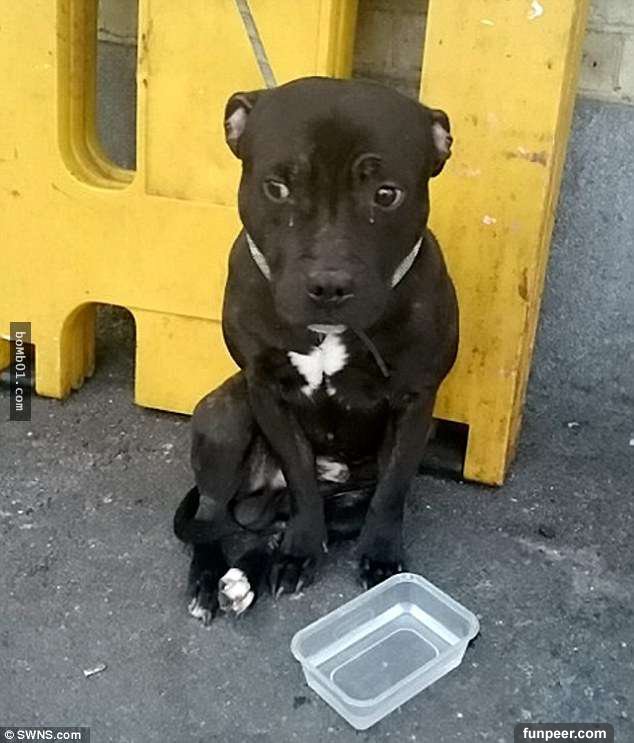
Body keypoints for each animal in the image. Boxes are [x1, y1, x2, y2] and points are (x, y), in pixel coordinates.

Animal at [174, 77, 458, 624]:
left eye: (386, 194)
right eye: (277, 188)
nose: (328, 284)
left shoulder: (416, 403)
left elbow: (391, 492)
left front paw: (381, 557)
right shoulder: (266, 391)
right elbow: (301, 477)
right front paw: (302, 549)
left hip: (351, 494)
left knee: (300, 521)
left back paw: (250, 572)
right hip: (224, 414)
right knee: (214, 519)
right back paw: (213, 578)